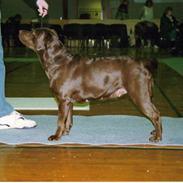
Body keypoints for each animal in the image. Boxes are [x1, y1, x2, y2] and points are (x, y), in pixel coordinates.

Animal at [18, 27, 162, 142]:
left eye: (33, 32)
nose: (20, 31)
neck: (57, 62)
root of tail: (143, 65)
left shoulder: (63, 100)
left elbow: (60, 121)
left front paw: (56, 136)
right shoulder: (68, 101)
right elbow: (68, 119)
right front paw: (65, 132)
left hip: (139, 94)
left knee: (155, 115)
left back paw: (157, 137)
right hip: (146, 95)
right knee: (156, 112)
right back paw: (155, 132)